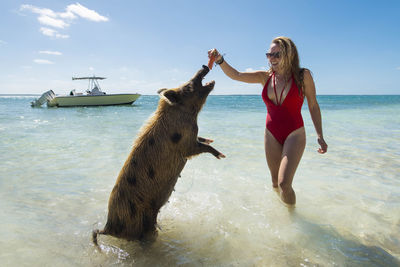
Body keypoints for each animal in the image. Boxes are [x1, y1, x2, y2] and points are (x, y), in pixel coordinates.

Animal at [94, 65, 225, 247]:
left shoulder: (192, 137)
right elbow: (200, 148)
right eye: (187, 87)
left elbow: (202, 140)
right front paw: (221, 155)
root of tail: (108, 227)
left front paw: (211, 139)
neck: (189, 115)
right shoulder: (185, 145)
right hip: (138, 223)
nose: (204, 66)